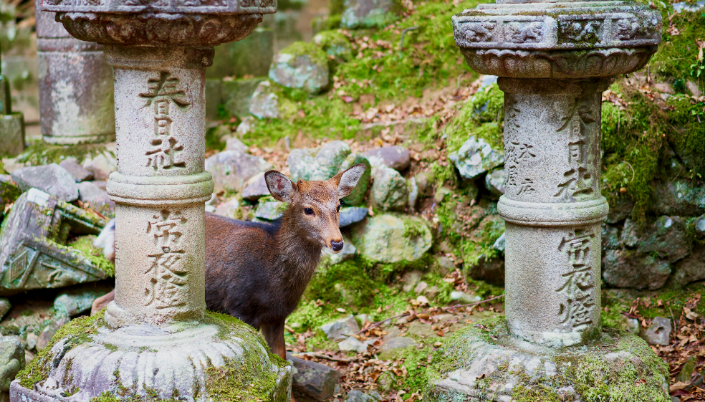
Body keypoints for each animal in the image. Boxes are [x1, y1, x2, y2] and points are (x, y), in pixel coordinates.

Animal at [91, 163, 366, 362]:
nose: (337, 242)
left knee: (99, 301)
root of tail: (109, 231)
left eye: (338, 205)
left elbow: (282, 359)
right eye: (308, 209)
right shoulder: (238, 304)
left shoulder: (278, 315)